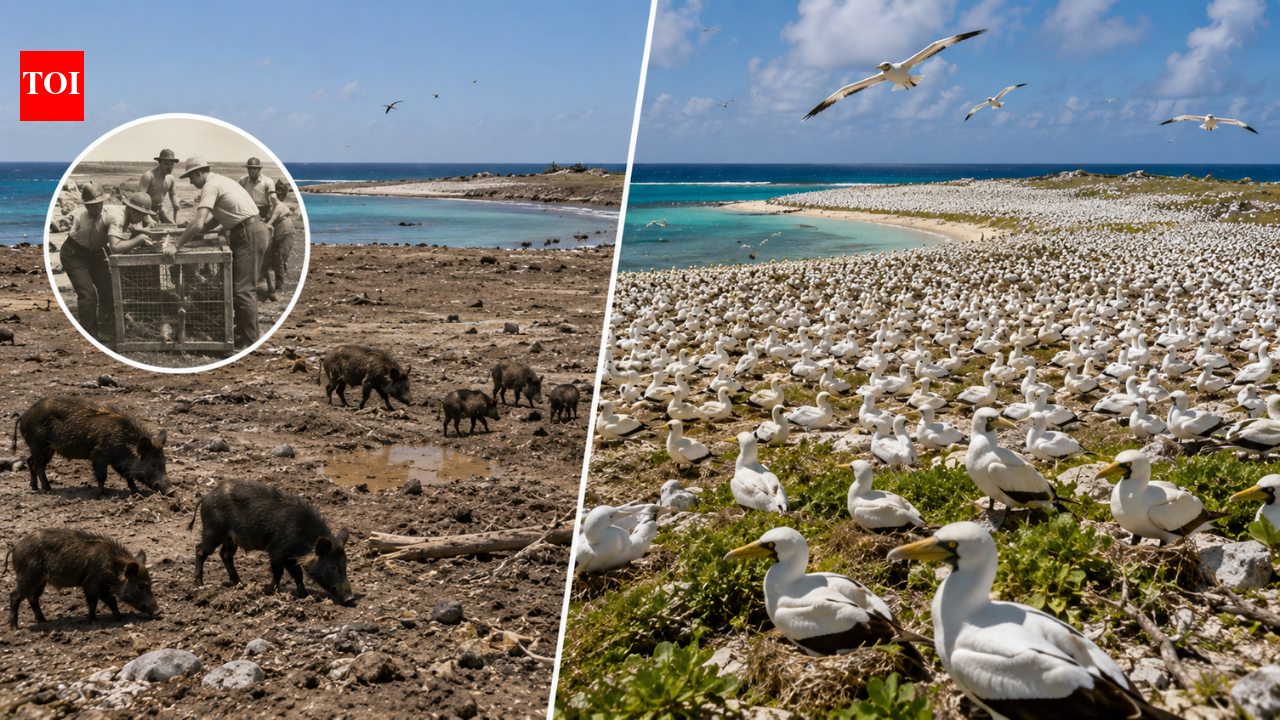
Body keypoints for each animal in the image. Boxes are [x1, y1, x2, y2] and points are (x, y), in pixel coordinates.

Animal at [6, 528, 159, 628]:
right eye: (141, 586)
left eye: (150, 583)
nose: (157, 610)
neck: (112, 567)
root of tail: (15, 548)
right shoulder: (92, 584)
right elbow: (98, 602)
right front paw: (95, 622)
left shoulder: (100, 586)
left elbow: (109, 602)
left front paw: (120, 619)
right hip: (28, 577)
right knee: (14, 595)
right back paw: (15, 627)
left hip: (39, 582)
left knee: (32, 598)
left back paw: (44, 621)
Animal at [13, 396, 172, 497]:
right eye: (153, 463)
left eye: (165, 462)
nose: (172, 492)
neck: (122, 442)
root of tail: (23, 416)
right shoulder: (99, 456)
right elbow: (102, 476)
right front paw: (101, 495)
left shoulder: (117, 461)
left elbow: (128, 476)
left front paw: (137, 493)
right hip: (39, 446)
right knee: (38, 466)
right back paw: (49, 490)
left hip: (46, 449)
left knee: (30, 461)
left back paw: (34, 487)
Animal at [190, 478, 354, 604]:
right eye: (332, 566)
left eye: (345, 563)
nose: (350, 598)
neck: (304, 539)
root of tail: (206, 497)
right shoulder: (277, 551)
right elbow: (281, 572)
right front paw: (271, 590)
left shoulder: (290, 557)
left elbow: (297, 574)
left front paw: (304, 595)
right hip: (213, 531)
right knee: (200, 549)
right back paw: (200, 584)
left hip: (230, 539)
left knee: (225, 555)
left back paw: (239, 584)